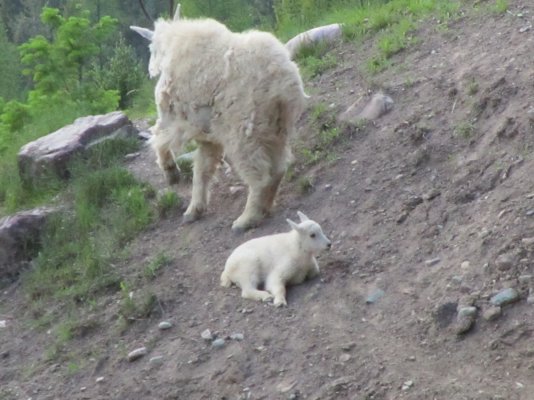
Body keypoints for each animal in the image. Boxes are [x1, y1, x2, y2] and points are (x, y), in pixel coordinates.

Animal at [131, 6, 310, 231]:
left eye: (150, 48)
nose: (149, 70)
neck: (173, 43)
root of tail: (282, 82)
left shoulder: (173, 117)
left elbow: (159, 138)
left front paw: (171, 173)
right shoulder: (208, 134)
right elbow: (202, 170)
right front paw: (194, 210)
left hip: (243, 131)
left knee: (259, 176)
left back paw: (246, 219)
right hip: (276, 126)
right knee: (278, 168)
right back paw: (265, 208)